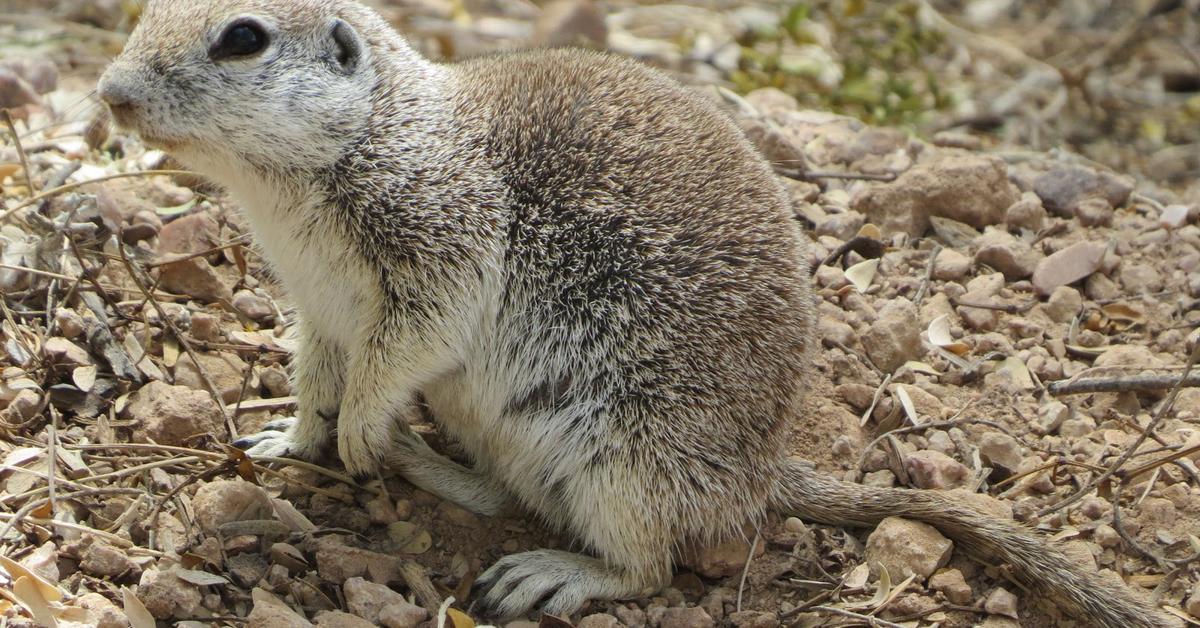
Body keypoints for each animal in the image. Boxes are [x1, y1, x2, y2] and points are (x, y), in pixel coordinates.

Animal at [103, 2, 1171, 624]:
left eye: (242, 37)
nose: (109, 93)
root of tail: (760, 475)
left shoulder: (440, 248)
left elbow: (405, 348)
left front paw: (360, 431)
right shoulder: (320, 307)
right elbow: (317, 373)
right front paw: (292, 439)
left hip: (624, 457)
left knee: (649, 564)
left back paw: (545, 569)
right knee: (508, 494)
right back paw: (433, 468)